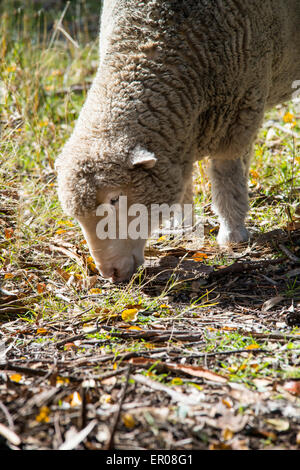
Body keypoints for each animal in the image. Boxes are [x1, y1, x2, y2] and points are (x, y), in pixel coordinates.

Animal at [55, 0, 300, 282]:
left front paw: (232, 233)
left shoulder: (240, 108)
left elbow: (227, 176)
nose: (110, 272)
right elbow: (185, 183)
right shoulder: (182, 139)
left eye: (114, 199)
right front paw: (181, 225)